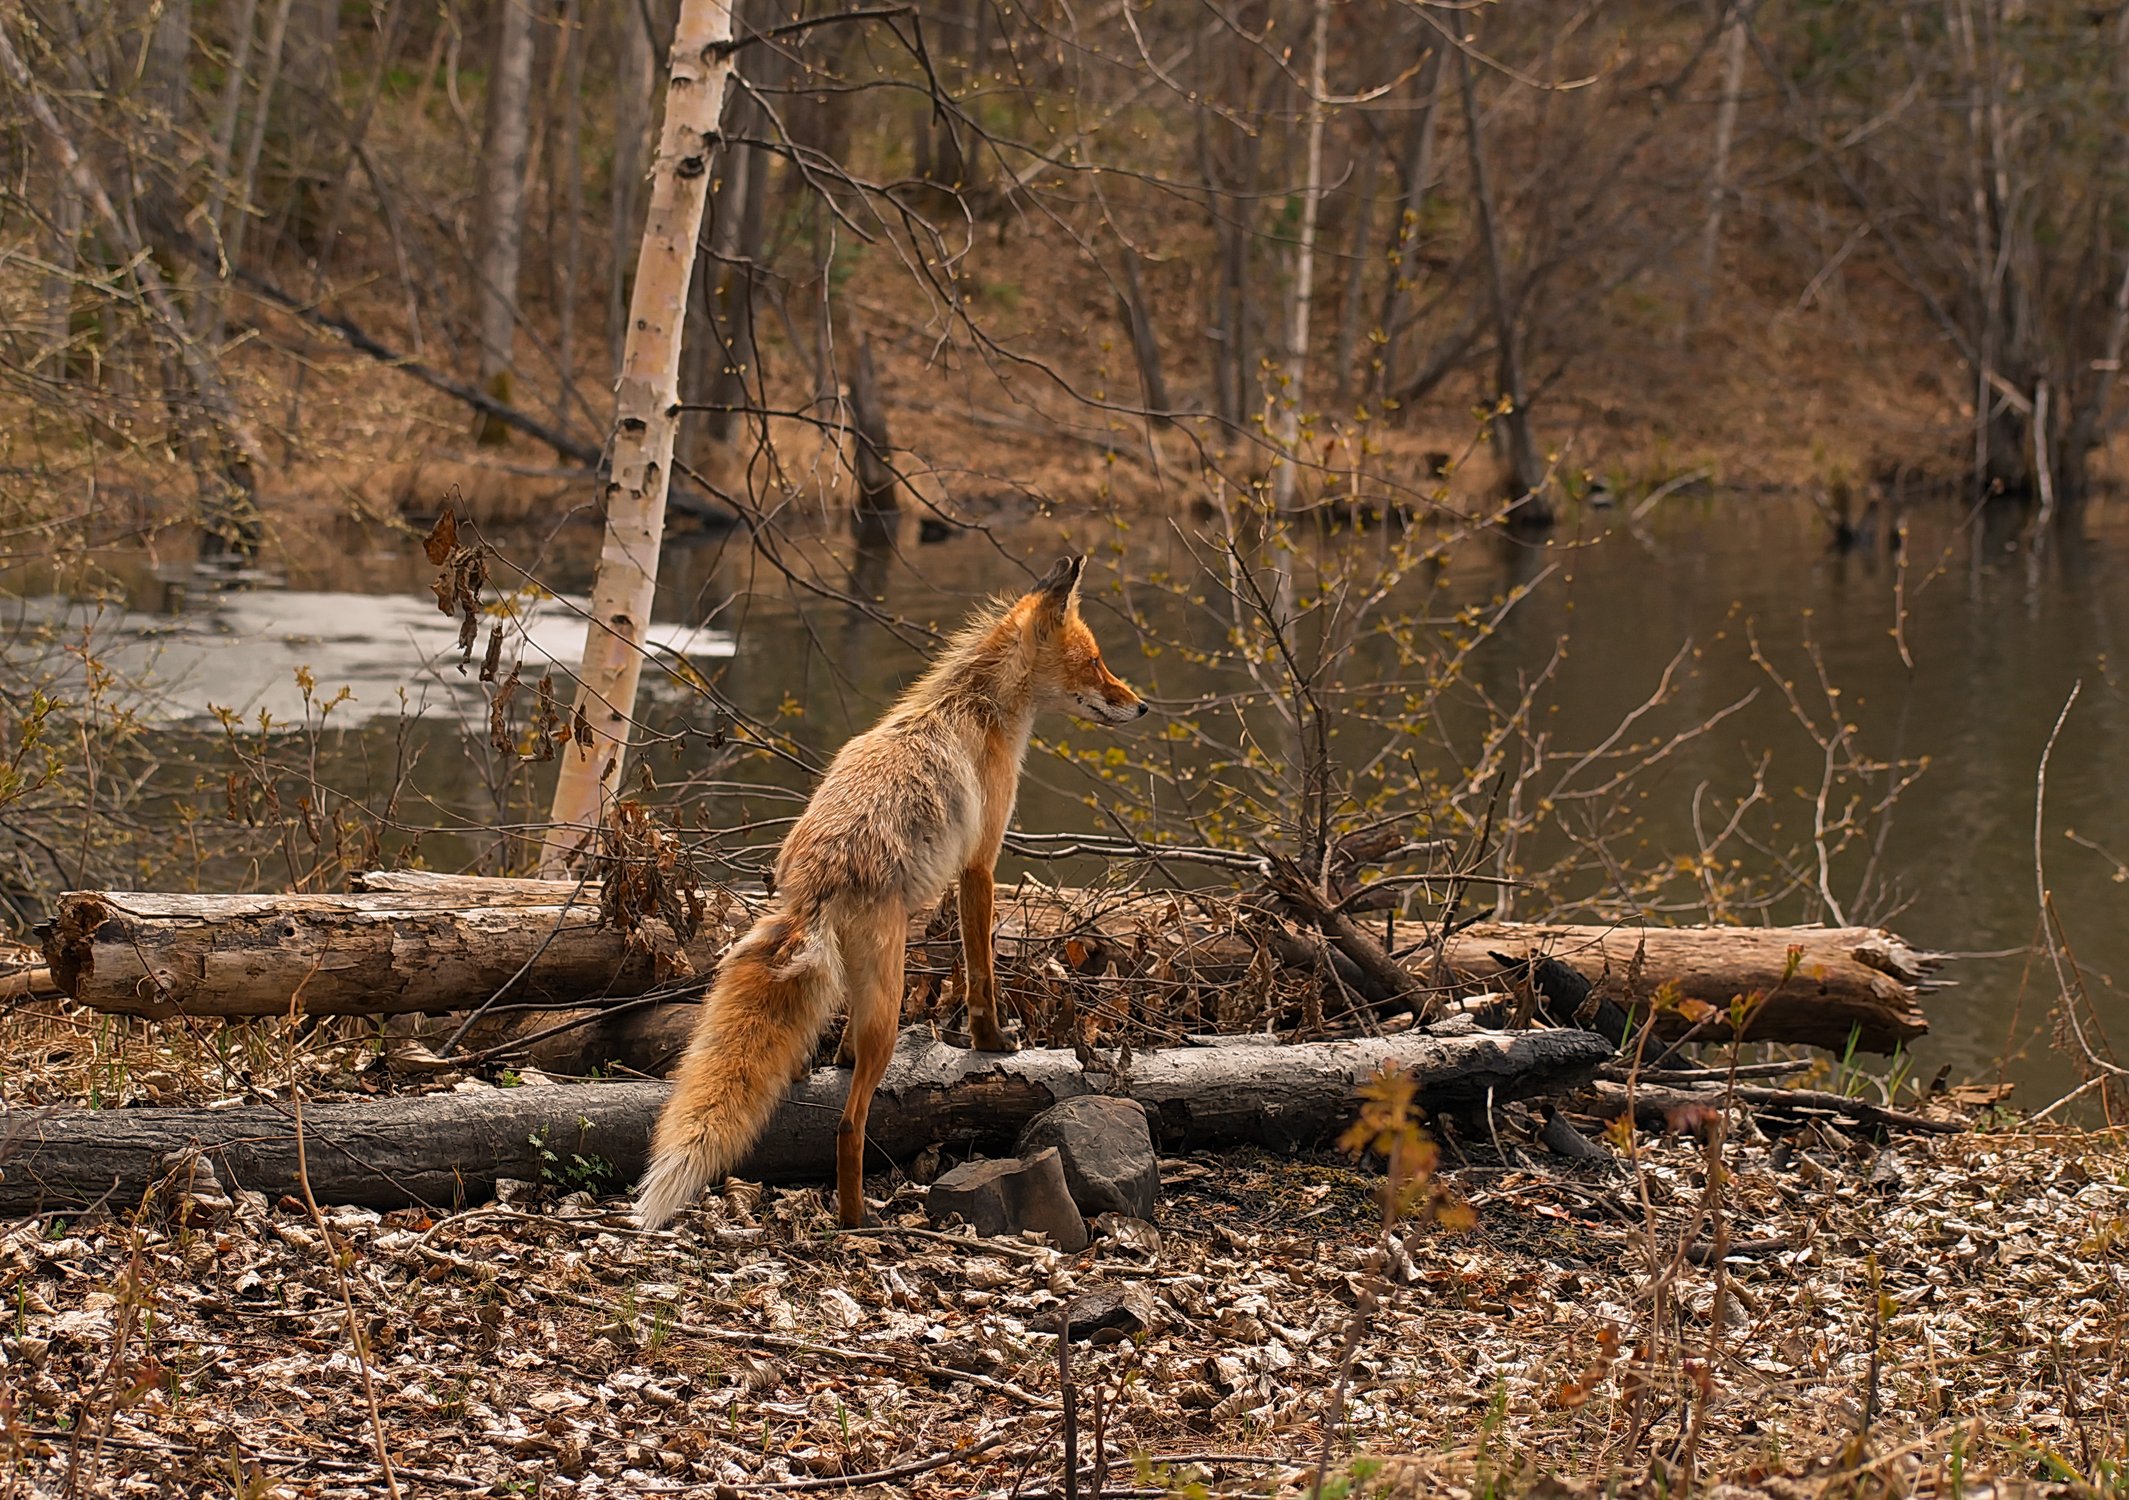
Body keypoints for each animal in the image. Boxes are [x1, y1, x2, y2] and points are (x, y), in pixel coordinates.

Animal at [634, 557, 1149, 1225]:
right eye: (1094, 662)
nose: (1141, 706)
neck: (973, 705)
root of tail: (815, 886)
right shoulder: (980, 866)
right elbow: (982, 974)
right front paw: (991, 1043)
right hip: (890, 992)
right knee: (849, 1127)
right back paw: (857, 1218)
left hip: (863, 982)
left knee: (824, 1057)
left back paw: (823, 1071)